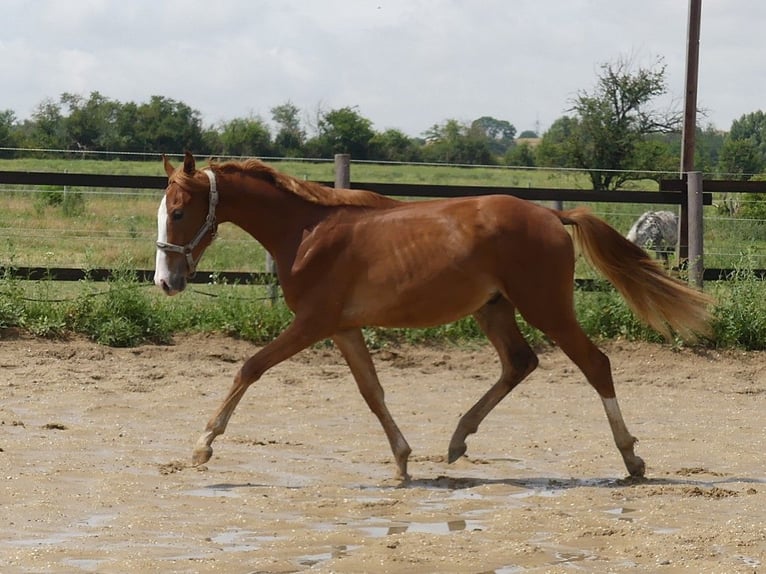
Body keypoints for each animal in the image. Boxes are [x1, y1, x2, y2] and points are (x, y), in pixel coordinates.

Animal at [156, 154, 712, 482]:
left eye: (179, 212)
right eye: (163, 213)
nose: (167, 281)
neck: (307, 232)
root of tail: (553, 215)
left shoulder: (313, 324)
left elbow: (250, 367)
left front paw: (202, 446)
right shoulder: (343, 328)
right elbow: (372, 391)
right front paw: (403, 460)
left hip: (546, 306)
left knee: (595, 364)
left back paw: (631, 459)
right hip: (495, 308)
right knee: (520, 363)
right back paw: (458, 439)